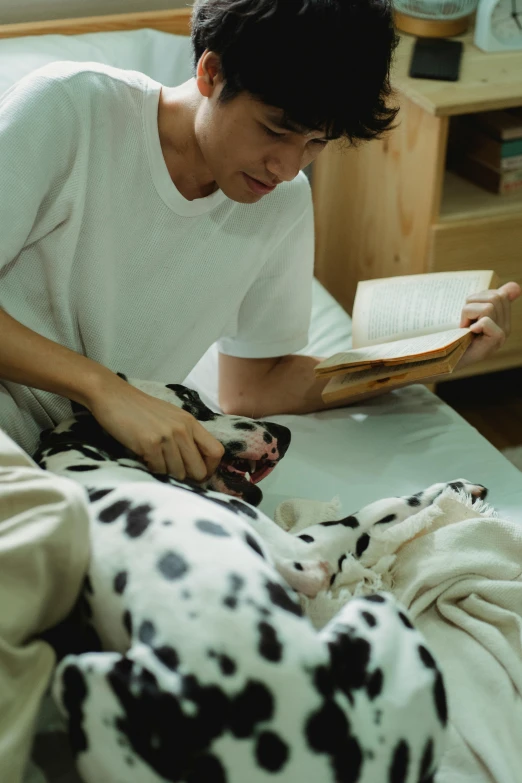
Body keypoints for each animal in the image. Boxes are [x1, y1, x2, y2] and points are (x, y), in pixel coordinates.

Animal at [34, 376, 486, 780]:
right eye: (191, 402)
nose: (283, 432)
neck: (79, 461)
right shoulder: (308, 552)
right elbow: (385, 505)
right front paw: (448, 492)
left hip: (78, 676)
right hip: (381, 614)